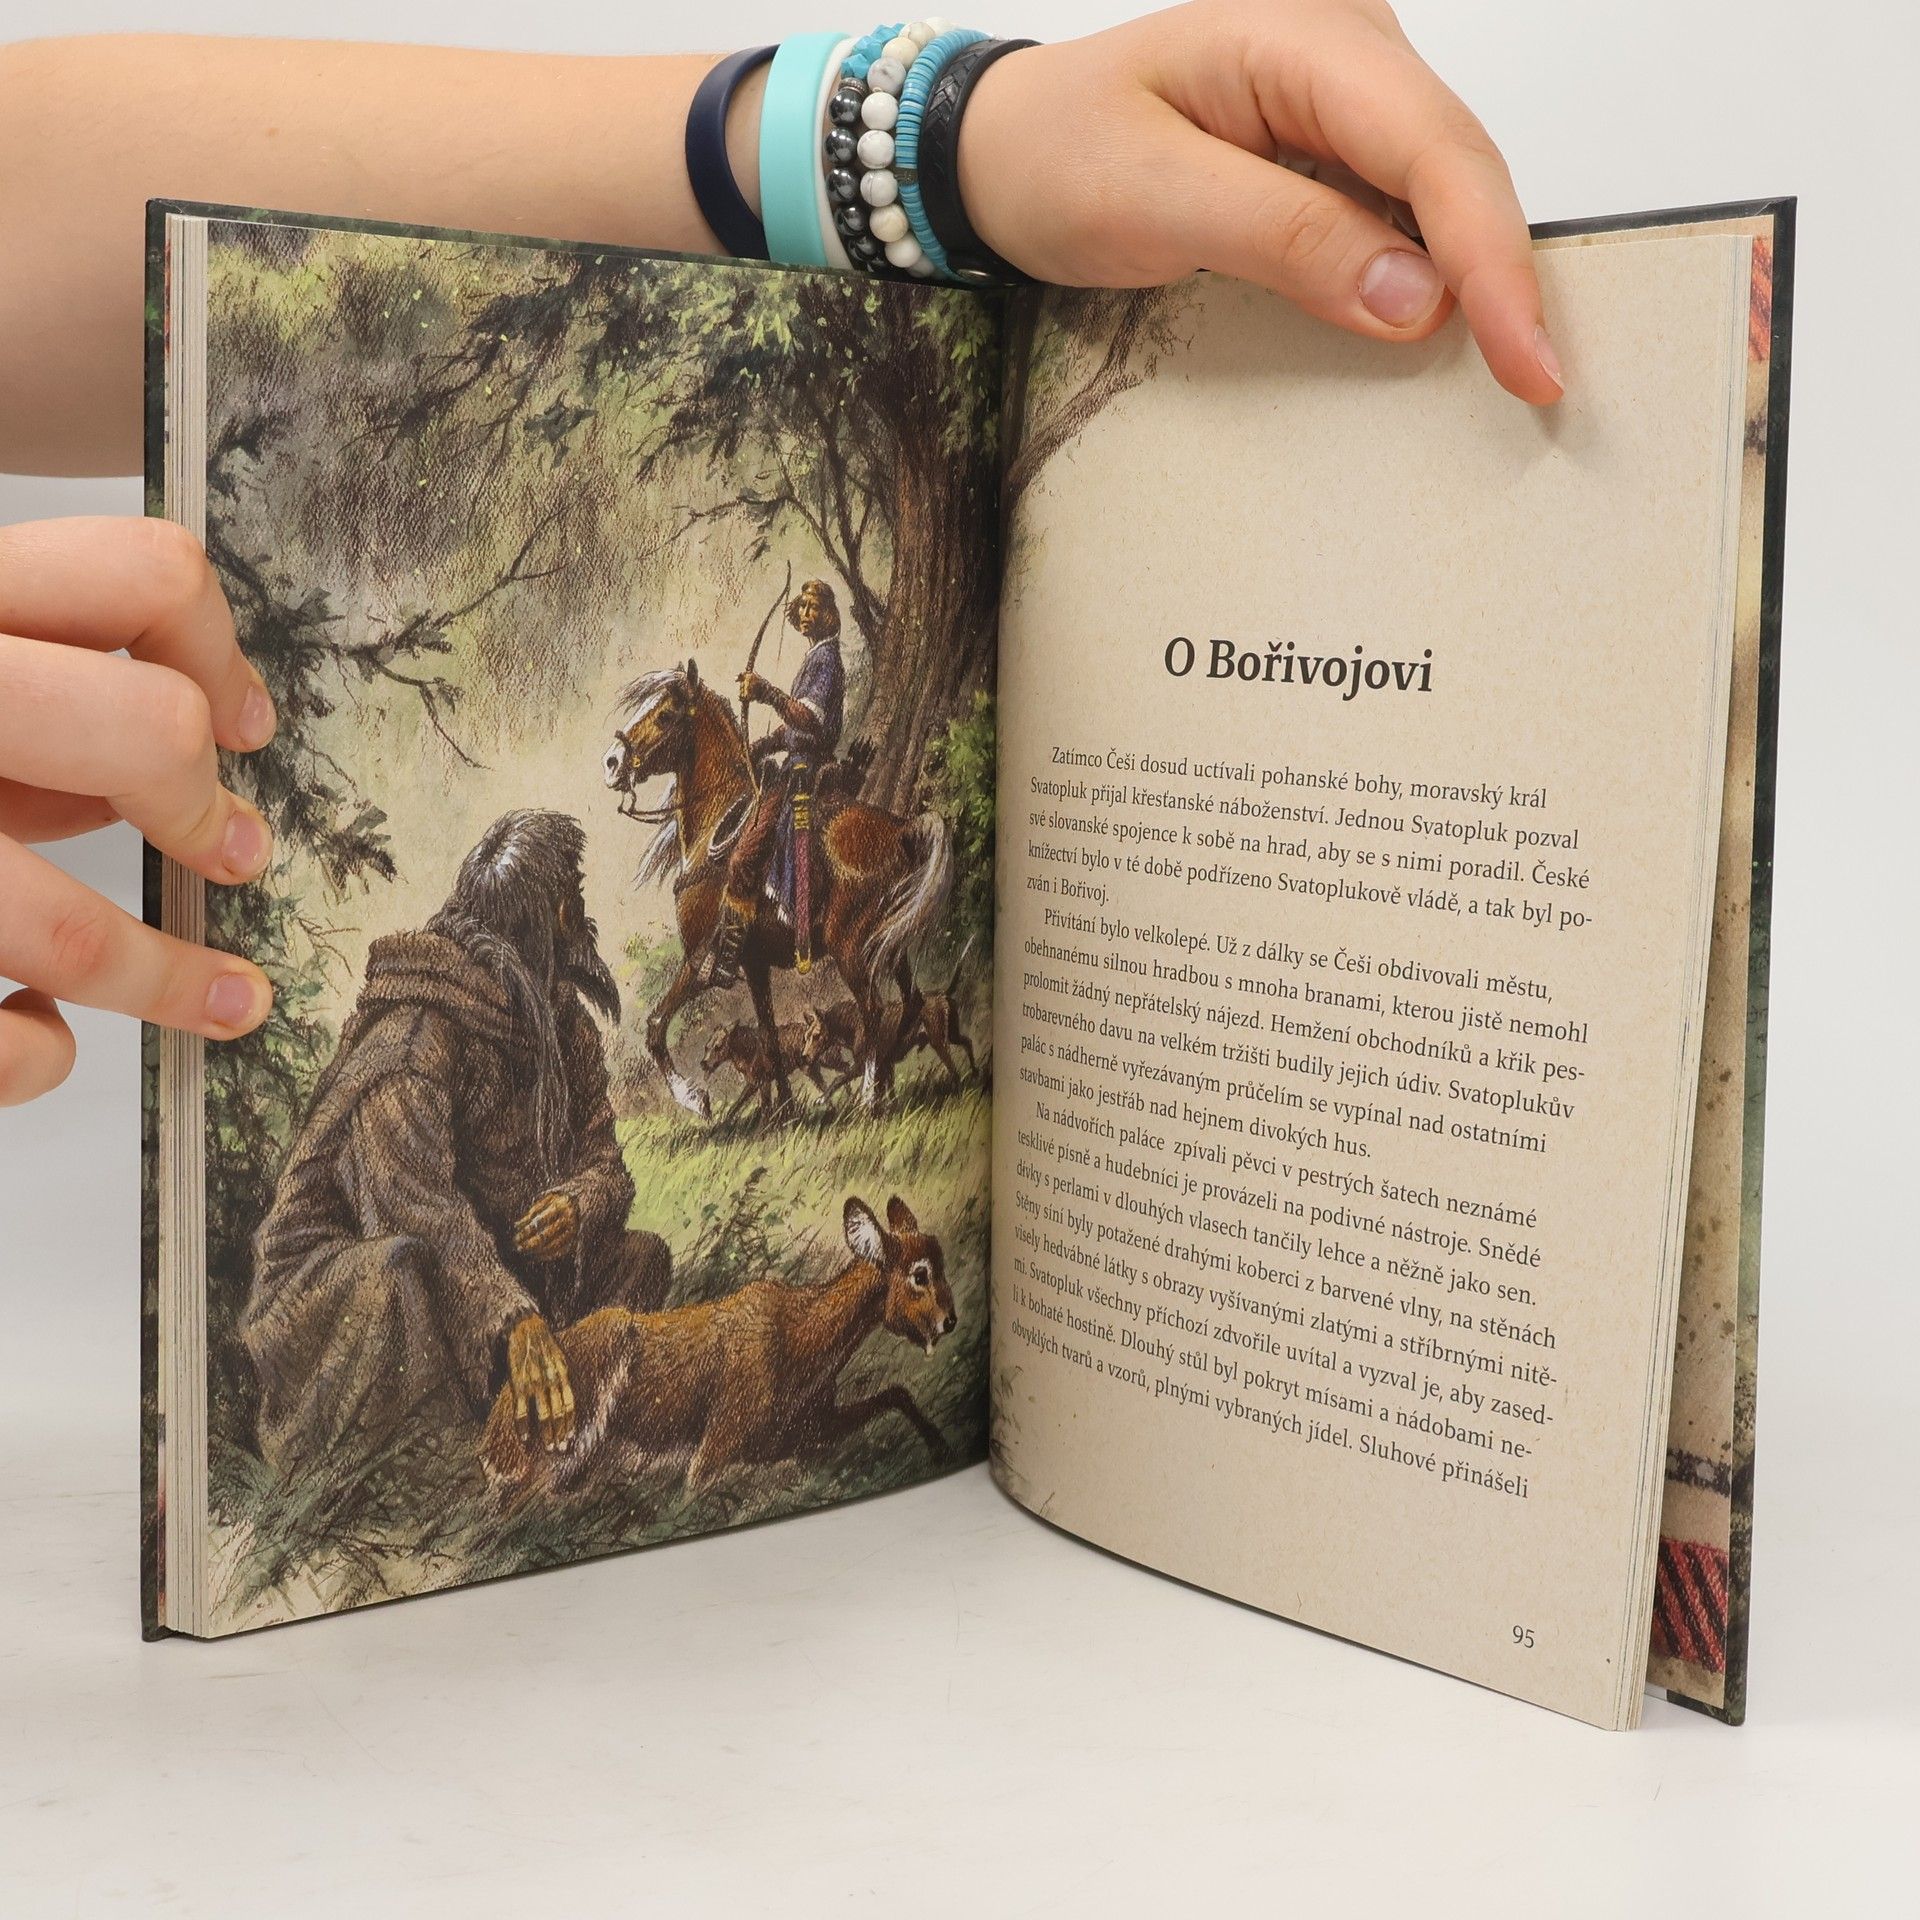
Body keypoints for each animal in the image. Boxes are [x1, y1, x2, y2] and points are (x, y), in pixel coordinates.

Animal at [604, 659, 952, 1118]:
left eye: (665, 714)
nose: (611, 762)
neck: (719, 821)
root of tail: (902, 828)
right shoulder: (754, 965)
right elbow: (768, 1035)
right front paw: (783, 1110)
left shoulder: (699, 962)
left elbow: (656, 1025)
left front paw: (695, 1098)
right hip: (888, 942)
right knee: (909, 1001)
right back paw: (885, 1086)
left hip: (850, 947)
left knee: (873, 1008)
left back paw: (868, 1099)